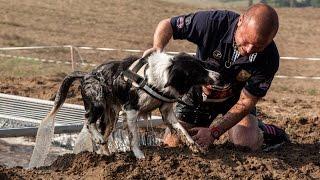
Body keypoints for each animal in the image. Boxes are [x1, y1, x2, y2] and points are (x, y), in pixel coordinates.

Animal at [44, 51, 220, 158]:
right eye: (197, 71)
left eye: (203, 65)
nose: (218, 76)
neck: (160, 77)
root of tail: (86, 75)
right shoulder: (131, 110)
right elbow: (134, 136)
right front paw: (139, 155)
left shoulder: (167, 112)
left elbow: (183, 130)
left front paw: (196, 147)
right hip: (98, 102)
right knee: (88, 119)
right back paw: (98, 138)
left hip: (111, 116)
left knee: (104, 131)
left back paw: (106, 153)